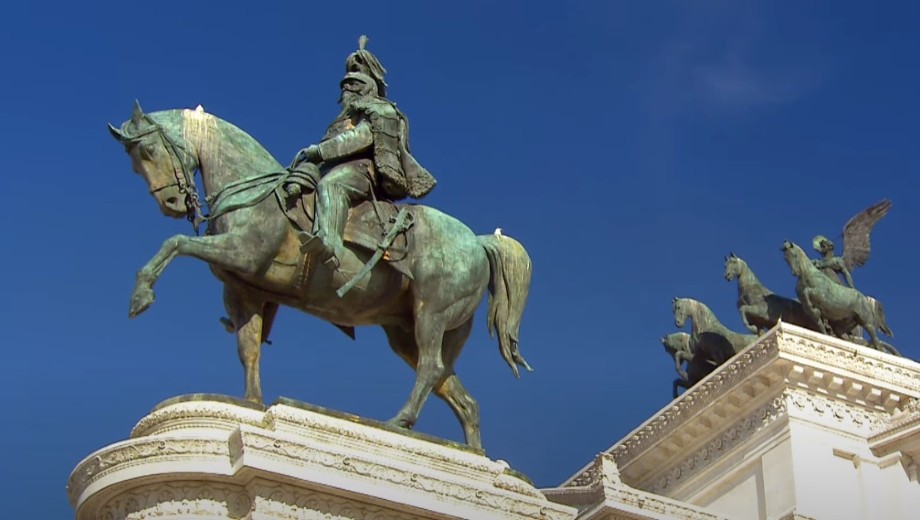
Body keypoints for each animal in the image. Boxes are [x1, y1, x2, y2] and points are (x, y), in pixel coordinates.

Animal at [108, 102, 536, 450]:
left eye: (148, 151)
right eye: (133, 162)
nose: (170, 203)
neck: (253, 192)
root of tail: (478, 241)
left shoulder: (243, 253)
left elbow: (176, 242)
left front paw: (140, 295)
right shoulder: (243, 291)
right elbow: (248, 349)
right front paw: (250, 404)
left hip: (431, 313)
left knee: (430, 368)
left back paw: (399, 421)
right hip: (410, 332)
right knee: (457, 392)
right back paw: (473, 454)